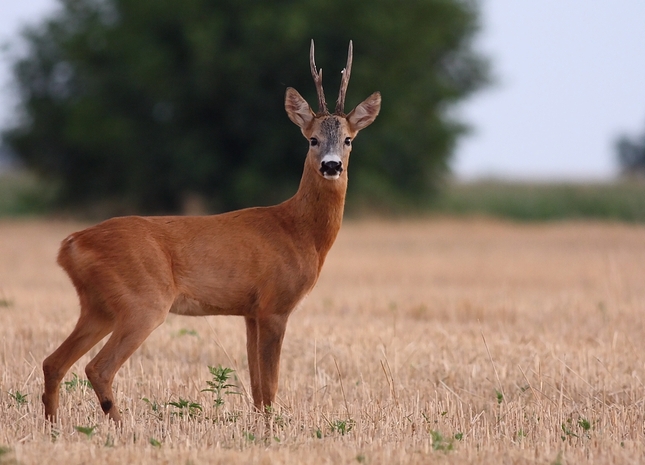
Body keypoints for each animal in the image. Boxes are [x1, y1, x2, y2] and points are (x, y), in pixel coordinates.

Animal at [42, 41, 380, 422]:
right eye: (312, 139)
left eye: (349, 139)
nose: (331, 165)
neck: (299, 232)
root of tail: (71, 244)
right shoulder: (276, 304)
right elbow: (270, 386)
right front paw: (271, 429)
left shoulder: (250, 311)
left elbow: (257, 388)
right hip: (143, 299)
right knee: (97, 367)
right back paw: (120, 426)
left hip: (98, 304)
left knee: (53, 362)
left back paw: (53, 426)